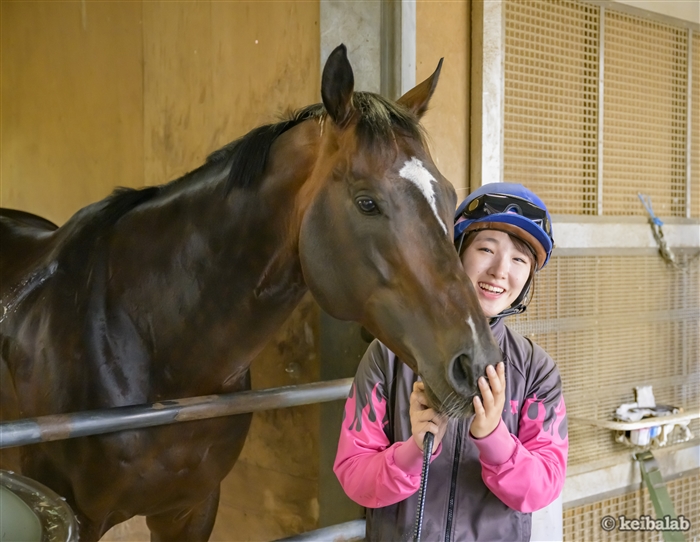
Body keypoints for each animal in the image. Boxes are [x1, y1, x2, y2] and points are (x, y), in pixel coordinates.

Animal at [0, 45, 504, 542]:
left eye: (448, 195)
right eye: (366, 202)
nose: (478, 366)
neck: (147, 339)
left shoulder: (191, 509)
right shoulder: (80, 518)